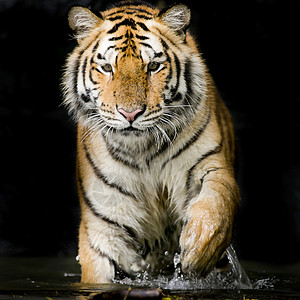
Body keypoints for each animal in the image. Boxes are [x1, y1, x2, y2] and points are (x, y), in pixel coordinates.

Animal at [62, 0, 240, 284]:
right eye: (107, 68)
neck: (142, 151)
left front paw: (199, 247)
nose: (130, 114)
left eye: (153, 66)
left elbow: (217, 202)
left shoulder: (209, 163)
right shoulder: (105, 225)